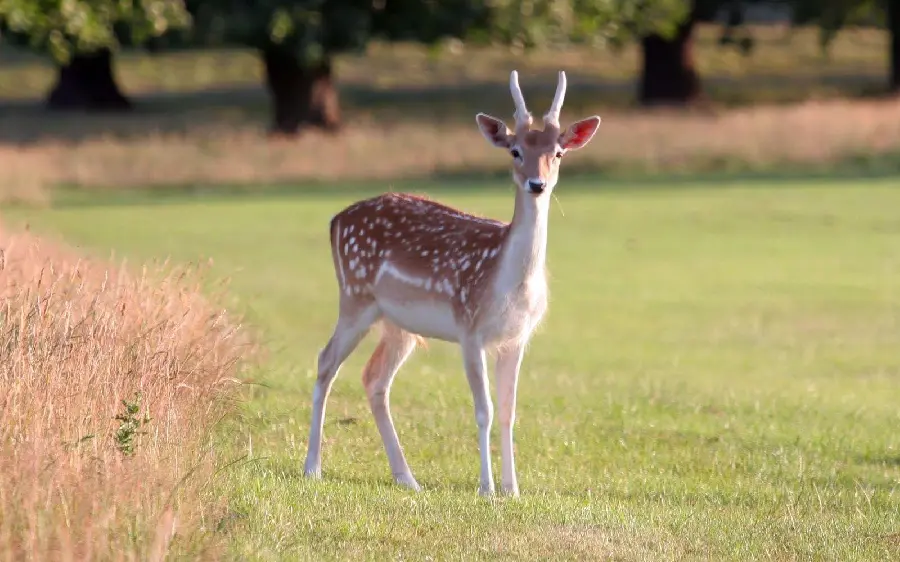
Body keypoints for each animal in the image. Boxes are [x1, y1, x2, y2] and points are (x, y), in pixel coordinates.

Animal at [298, 70, 600, 494]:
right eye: (515, 151)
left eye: (558, 152)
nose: (537, 184)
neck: (507, 284)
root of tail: (335, 220)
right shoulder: (469, 328)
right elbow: (483, 410)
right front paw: (487, 488)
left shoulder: (516, 337)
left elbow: (508, 410)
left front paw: (513, 489)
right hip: (355, 297)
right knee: (326, 362)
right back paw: (312, 467)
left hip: (398, 324)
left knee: (374, 378)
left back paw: (406, 477)